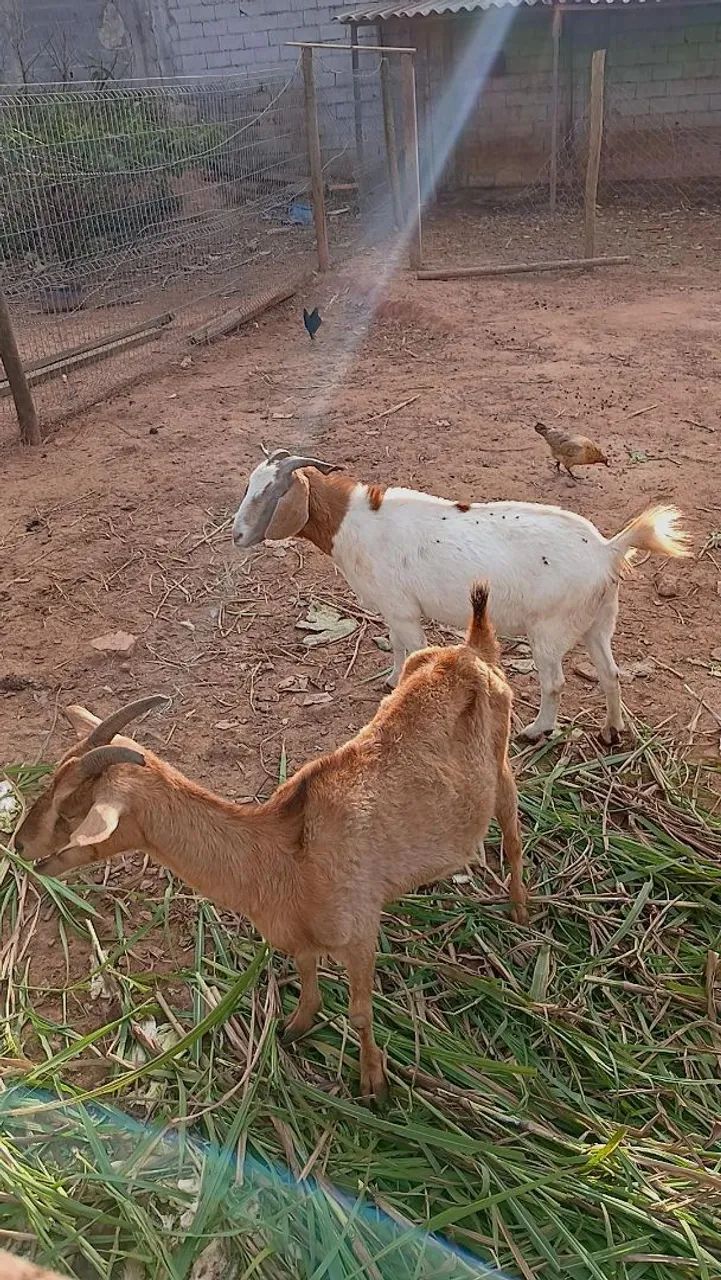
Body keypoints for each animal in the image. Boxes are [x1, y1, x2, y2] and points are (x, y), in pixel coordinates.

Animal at [14, 586, 526, 1101]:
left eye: (72, 807)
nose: (20, 845)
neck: (279, 856)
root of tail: (472, 647)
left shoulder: (359, 931)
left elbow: (360, 1011)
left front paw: (373, 1084)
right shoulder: (297, 936)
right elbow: (305, 975)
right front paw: (296, 1028)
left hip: (501, 762)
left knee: (513, 830)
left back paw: (520, 909)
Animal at [231, 449, 689, 743]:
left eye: (268, 493)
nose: (236, 536)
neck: (353, 522)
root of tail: (606, 549)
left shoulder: (402, 610)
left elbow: (411, 650)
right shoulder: (395, 611)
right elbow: (397, 649)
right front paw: (390, 681)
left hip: (550, 627)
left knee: (555, 681)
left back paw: (536, 730)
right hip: (599, 619)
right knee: (610, 673)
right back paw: (613, 731)